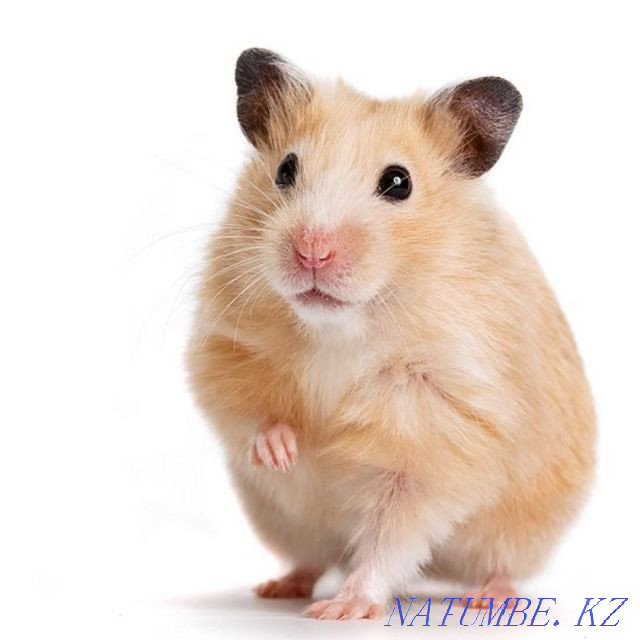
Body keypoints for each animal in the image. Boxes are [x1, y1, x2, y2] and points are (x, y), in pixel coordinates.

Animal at [187, 48, 595, 621]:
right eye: (286, 169)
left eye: (399, 182)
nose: (312, 252)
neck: (341, 327)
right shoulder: (225, 345)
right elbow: (247, 410)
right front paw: (283, 452)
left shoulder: (438, 434)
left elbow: (392, 533)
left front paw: (342, 610)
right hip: (286, 522)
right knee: (312, 557)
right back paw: (278, 587)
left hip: (520, 531)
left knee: (497, 564)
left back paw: (489, 601)